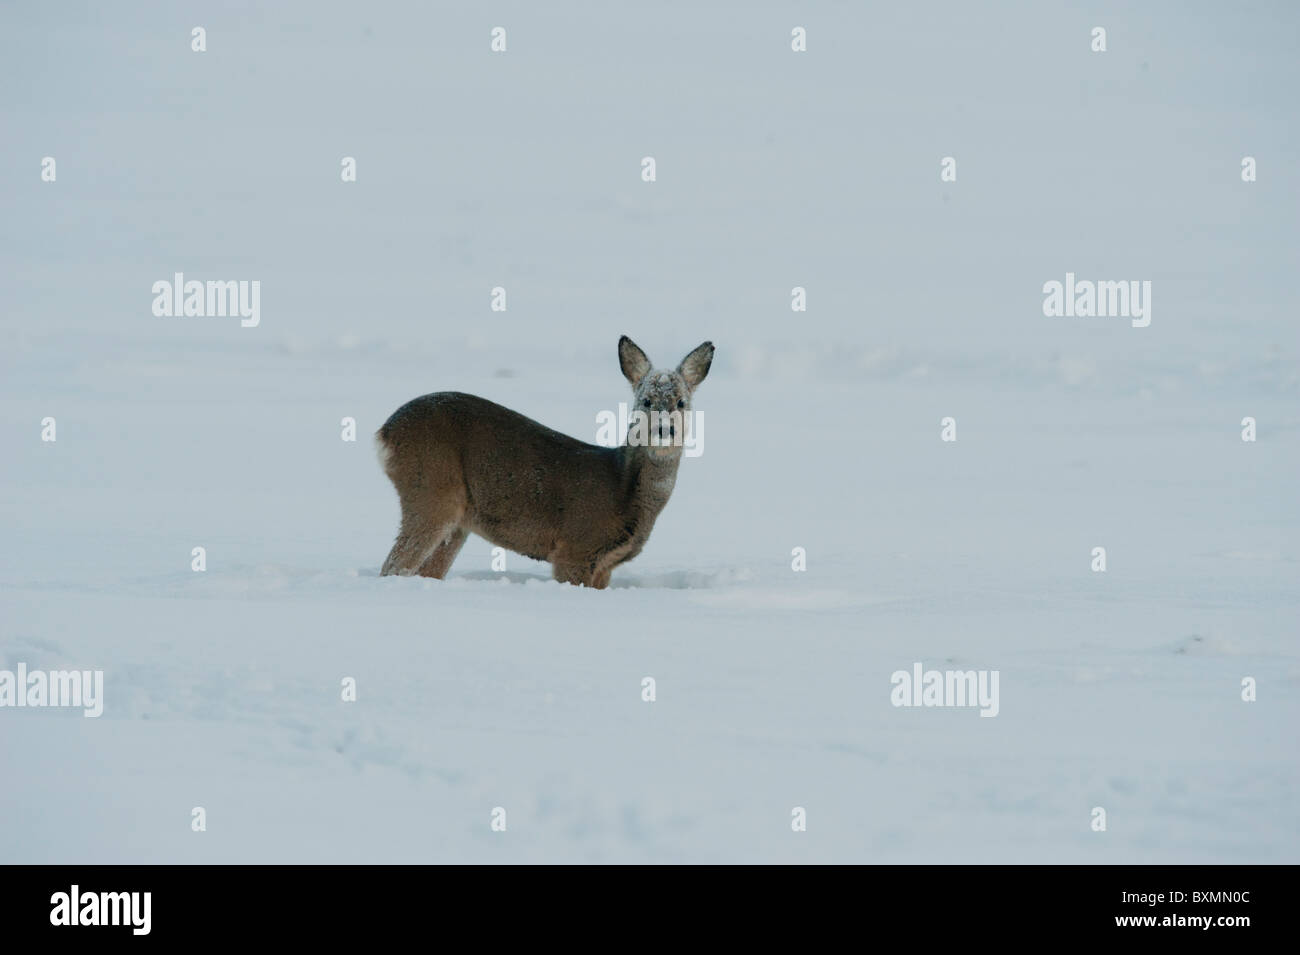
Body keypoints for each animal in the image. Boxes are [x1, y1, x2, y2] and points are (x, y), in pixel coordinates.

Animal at [376, 336, 713, 589]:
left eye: (681, 402)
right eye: (646, 401)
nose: (664, 430)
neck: (623, 488)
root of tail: (385, 432)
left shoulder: (604, 567)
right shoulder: (575, 547)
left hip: (457, 520)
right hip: (431, 487)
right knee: (394, 565)